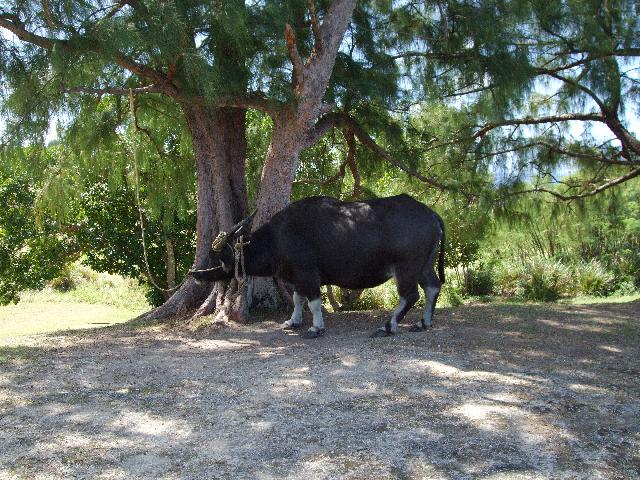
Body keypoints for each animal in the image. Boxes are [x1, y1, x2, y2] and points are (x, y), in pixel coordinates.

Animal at [190, 194, 444, 338]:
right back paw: (423, 323)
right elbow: (298, 299)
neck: (279, 238)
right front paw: (293, 321)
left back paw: (388, 327)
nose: (195, 274)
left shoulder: (308, 273)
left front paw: (316, 328)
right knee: (433, 287)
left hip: (407, 268)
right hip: (424, 265)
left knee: (410, 295)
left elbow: (313, 301)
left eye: (223, 258)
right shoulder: (297, 278)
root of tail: (431, 214)